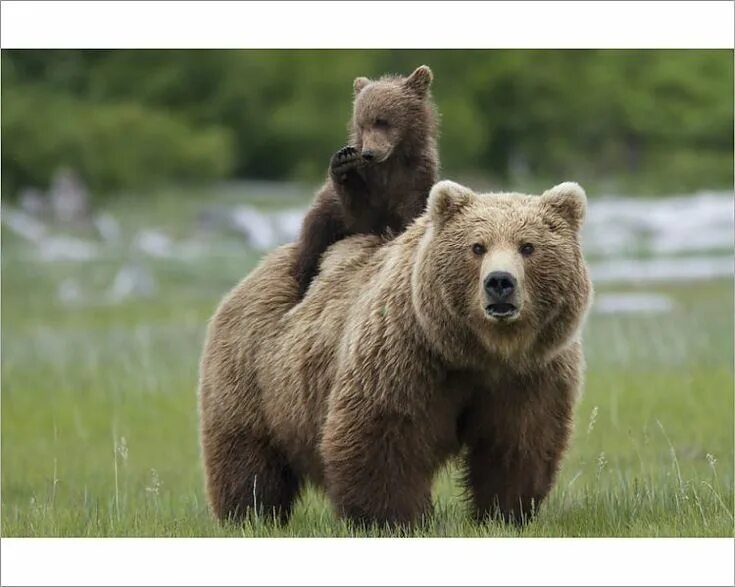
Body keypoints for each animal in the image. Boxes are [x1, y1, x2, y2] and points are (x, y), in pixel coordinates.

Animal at [198, 179, 593, 527]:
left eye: (528, 246)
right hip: (255, 373)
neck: (480, 351)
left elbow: (517, 444)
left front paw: (503, 514)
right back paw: (250, 516)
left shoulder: (530, 375)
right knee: (248, 458)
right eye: (477, 247)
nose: (499, 282)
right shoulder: (407, 355)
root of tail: (259, 267)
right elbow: (382, 436)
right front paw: (391, 519)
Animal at [292, 64, 439, 298]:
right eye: (362, 124)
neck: (390, 164)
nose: (369, 153)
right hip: (323, 217)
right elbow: (361, 218)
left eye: (382, 121)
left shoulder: (414, 178)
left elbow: (410, 213)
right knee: (313, 242)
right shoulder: (369, 185)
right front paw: (344, 162)